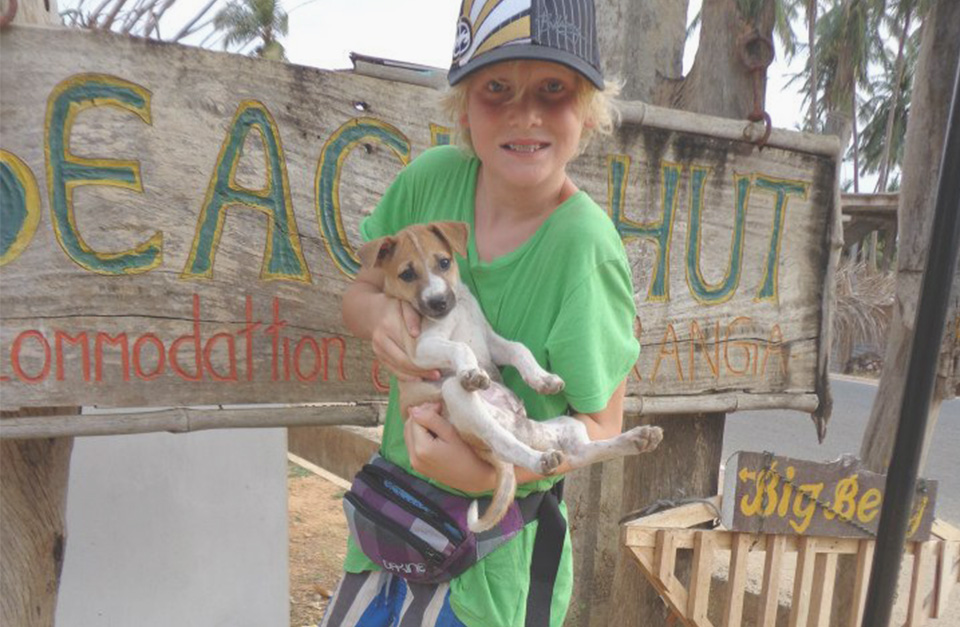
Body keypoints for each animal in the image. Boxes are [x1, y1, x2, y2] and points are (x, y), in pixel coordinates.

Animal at [357, 221, 663, 532]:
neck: (457, 310)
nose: (439, 302)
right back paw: (541, 459)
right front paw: (472, 372)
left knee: (579, 451)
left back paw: (638, 439)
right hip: (458, 397)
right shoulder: (419, 348)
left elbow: (519, 349)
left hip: (564, 425)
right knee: (505, 443)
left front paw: (543, 379)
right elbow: (462, 347)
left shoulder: (491, 340)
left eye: (443, 262)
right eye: (407, 274)